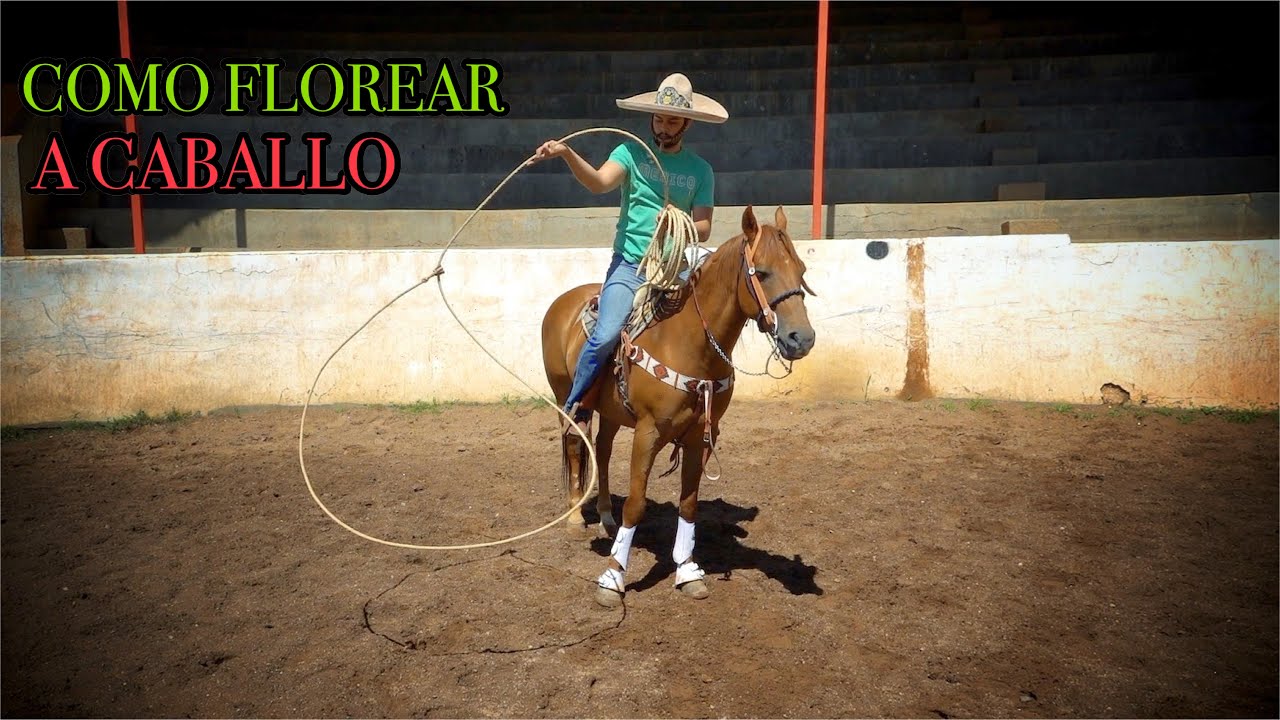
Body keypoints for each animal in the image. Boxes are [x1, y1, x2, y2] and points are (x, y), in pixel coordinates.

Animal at [540, 205, 817, 607]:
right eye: (762, 272)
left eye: (801, 270)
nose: (802, 339)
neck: (689, 343)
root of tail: (562, 302)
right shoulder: (648, 431)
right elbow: (636, 504)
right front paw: (613, 579)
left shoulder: (700, 434)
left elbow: (688, 503)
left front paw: (687, 572)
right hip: (569, 399)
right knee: (578, 447)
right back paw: (576, 518)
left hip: (611, 411)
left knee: (603, 452)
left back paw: (606, 517)